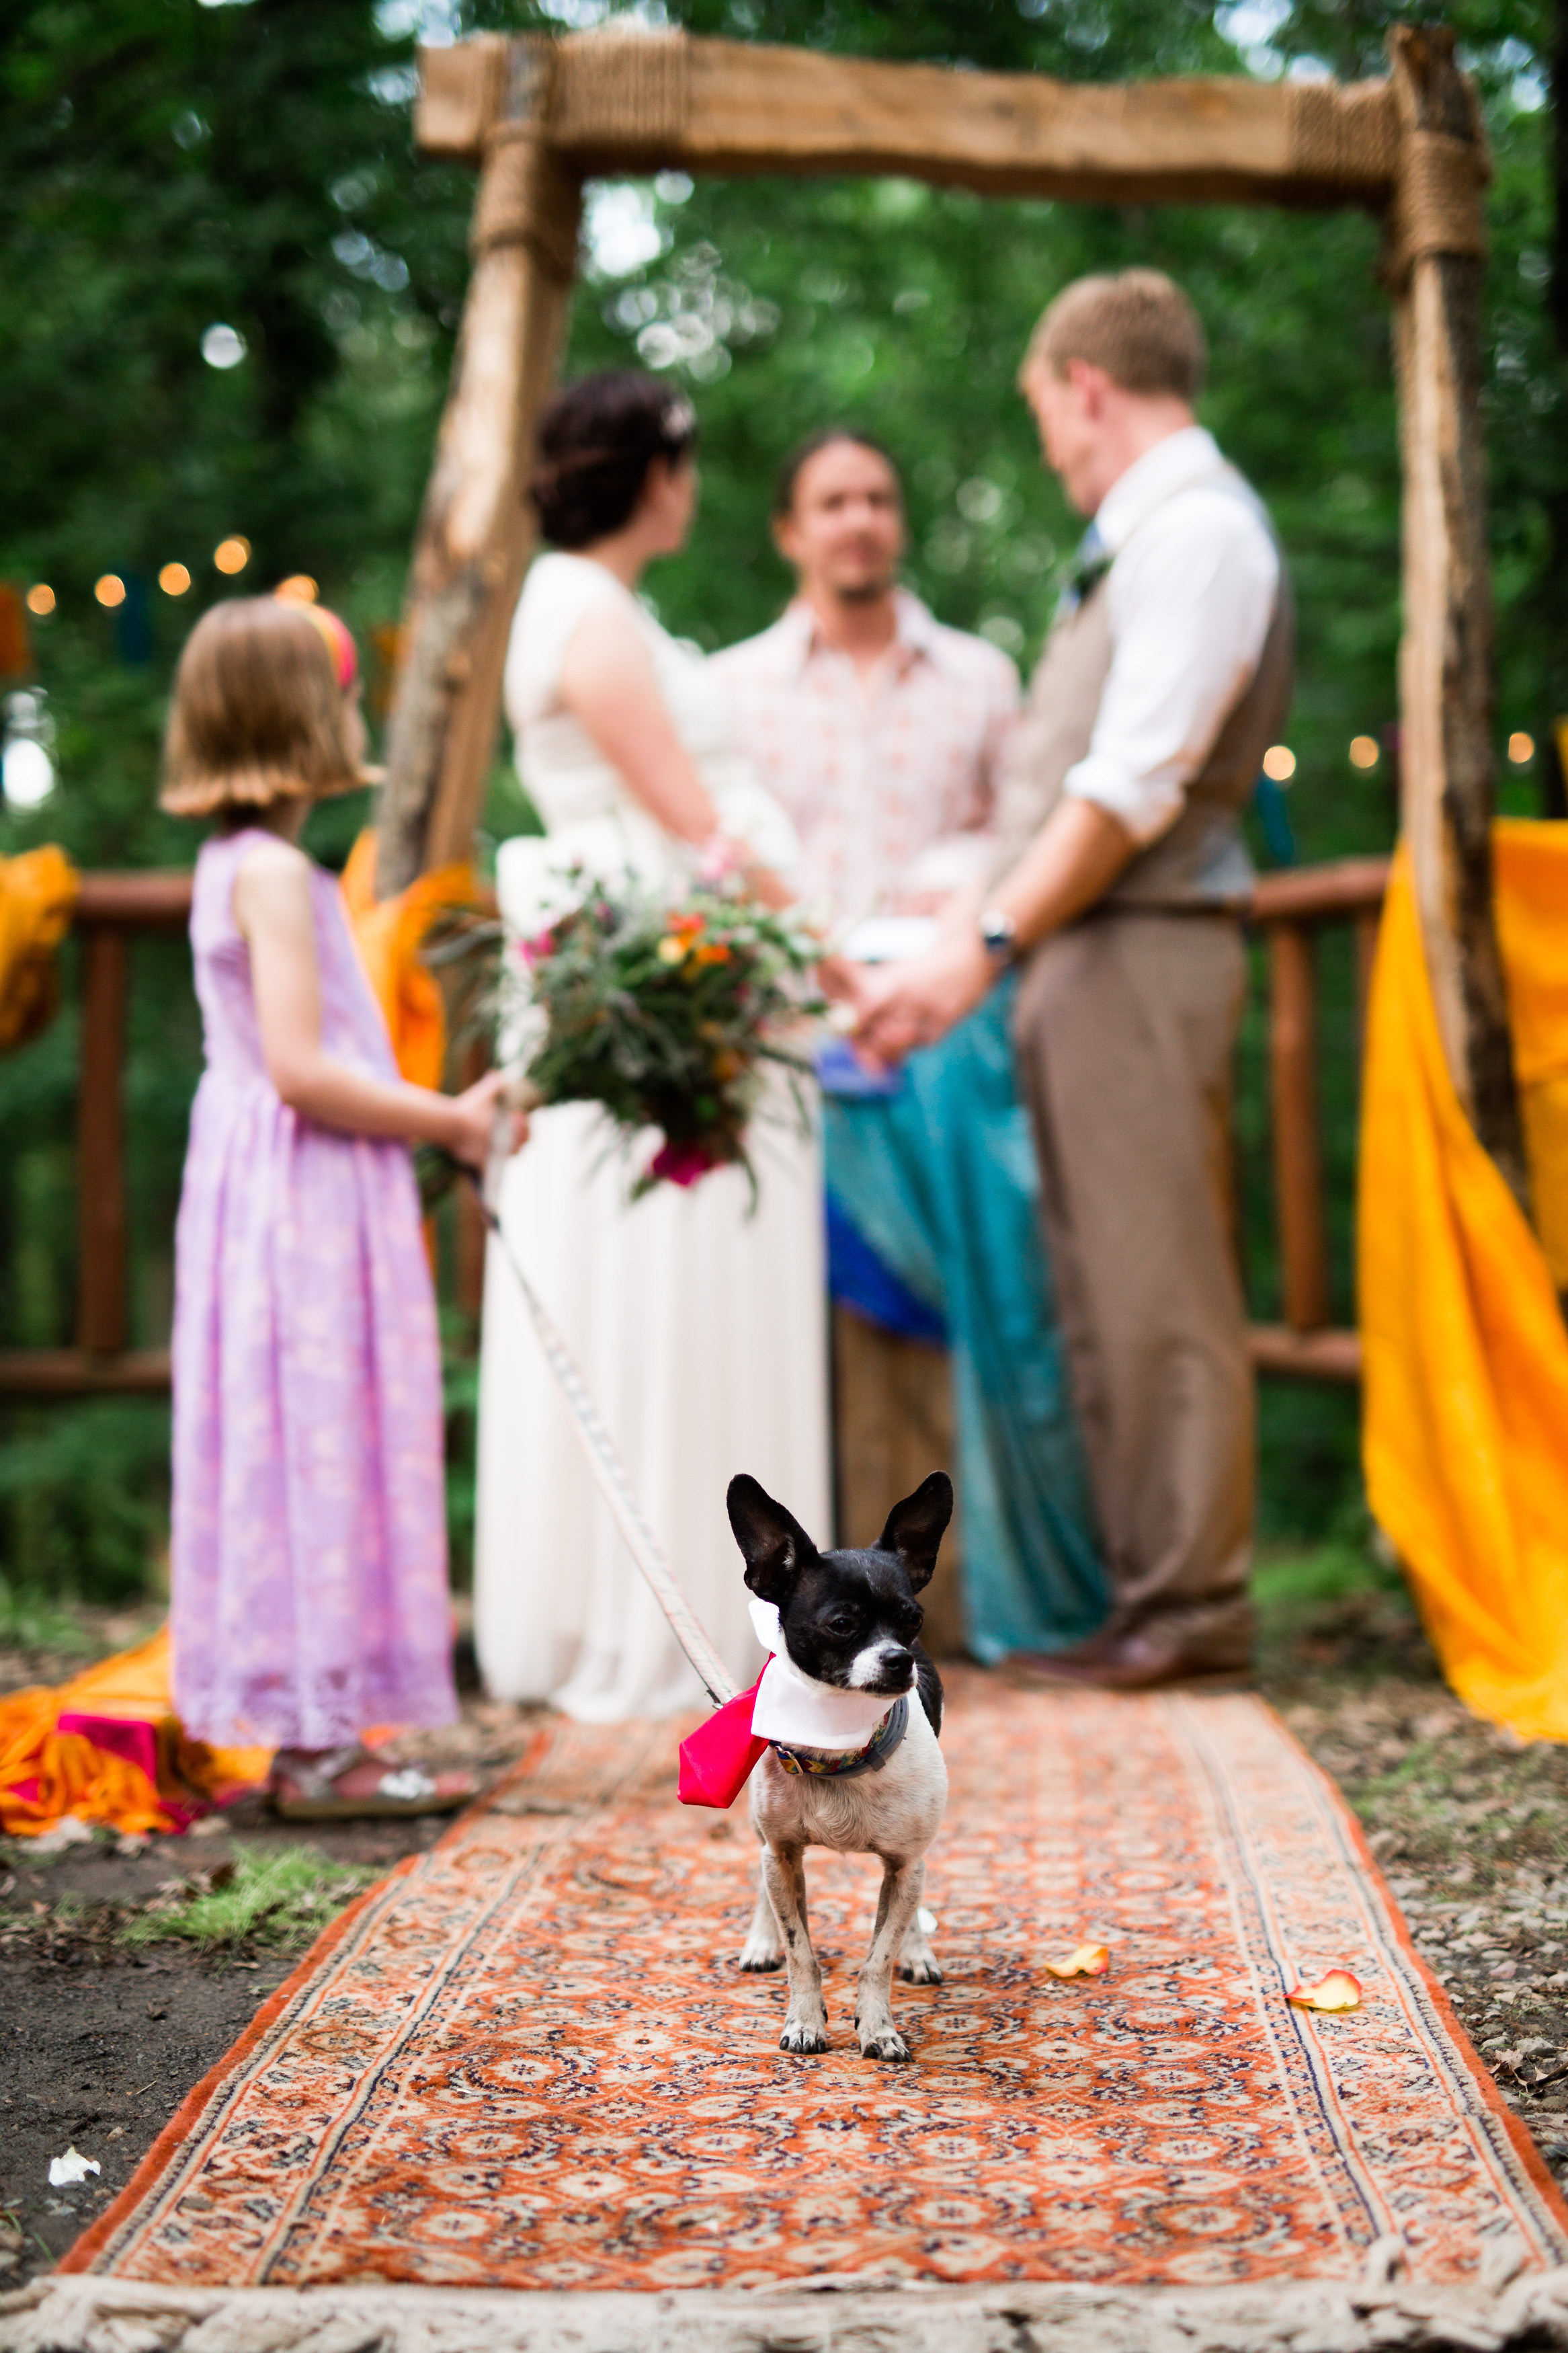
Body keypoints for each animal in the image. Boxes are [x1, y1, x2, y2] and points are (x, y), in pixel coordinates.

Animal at [725, 1468, 951, 2063]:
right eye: (842, 1624)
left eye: (913, 1619)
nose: (899, 1659)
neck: (839, 1752)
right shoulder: (782, 1855)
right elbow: (801, 1952)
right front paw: (804, 2022)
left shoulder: (904, 1864)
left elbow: (879, 1958)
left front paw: (878, 2028)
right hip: (761, 1834)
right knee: (761, 1881)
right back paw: (760, 1942)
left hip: (914, 1857)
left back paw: (918, 1952)